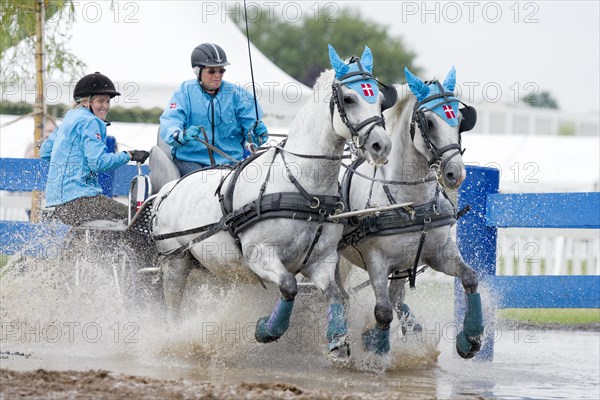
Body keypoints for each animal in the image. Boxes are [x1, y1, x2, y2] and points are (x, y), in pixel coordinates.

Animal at [149, 44, 394, 360]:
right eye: (349, 98)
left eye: (380, 99)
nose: (381, 146)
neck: (302, 185)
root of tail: (167, 189)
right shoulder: (260, 255)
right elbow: (289, 286)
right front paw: (266, 330)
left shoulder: (322, 260)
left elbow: (334, 294)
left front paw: (338, 341)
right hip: (175, 264)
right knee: (173, 309)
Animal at [340, 67, 480, 358]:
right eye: (429, 123)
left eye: (460, 119)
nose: (455, 173)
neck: (413, 205)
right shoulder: (377, 261)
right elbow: (382, 312)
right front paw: (374, 352)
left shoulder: (439, 253)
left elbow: (470, 277)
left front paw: (470, 339)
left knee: (396, 297)